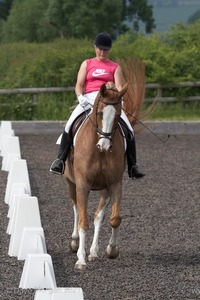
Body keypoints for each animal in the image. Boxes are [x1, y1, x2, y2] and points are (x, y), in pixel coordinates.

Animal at [65, 59, 145, 270]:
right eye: (100, 113)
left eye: (118, 115)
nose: (104, 146)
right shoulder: (82, 184)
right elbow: (82, 220)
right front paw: (81, 260)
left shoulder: (115, 184)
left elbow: (114, 219)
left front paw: (111, 250)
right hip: (70, 183)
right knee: (76, 208)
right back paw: (75, 243)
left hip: (103, 189)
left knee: (98, 216)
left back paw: (93, 251)